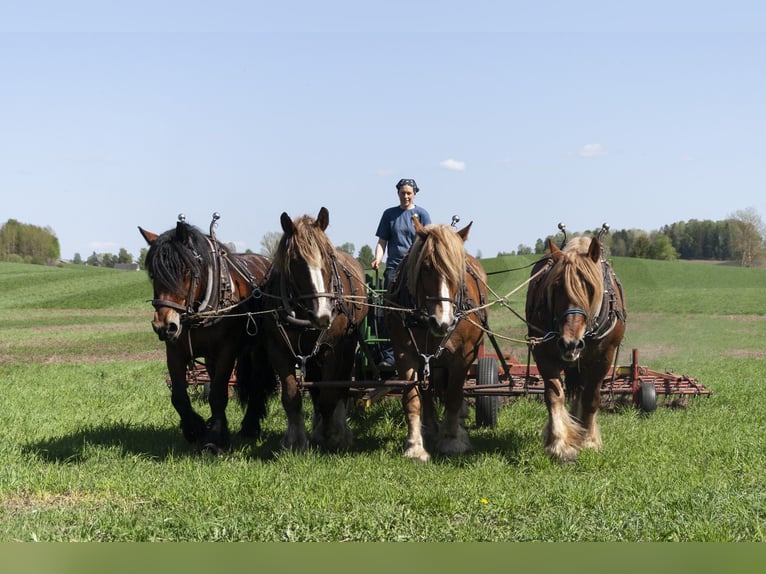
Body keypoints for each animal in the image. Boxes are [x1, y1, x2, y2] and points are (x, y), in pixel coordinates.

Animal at [140, 216, 274, 454]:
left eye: (185, 270)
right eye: (154, 274)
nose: (164, 326)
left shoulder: (227, 351)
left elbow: (219, 394)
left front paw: (214, 441)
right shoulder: (175, 350)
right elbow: (179, 396)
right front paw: (195, 429)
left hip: (257, 351)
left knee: (257, 382)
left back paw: (250, 426)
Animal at [256, 209, 368, 452]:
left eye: (328, 256)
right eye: (296, 261)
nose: (323, 315)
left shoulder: (332, 350)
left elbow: (328, 396)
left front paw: (329, 435)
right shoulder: (278, 349)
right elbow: (291, 396)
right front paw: (294, 441)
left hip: (347, 348)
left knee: (341, 388)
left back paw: (339, 429)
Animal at [388, 218, 488, 466]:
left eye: (457, 271)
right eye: (425, 267)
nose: (442, 322)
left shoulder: (463, 355)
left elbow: (453, 395)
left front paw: (452, 440)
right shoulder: (405, 354)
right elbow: (413, 399)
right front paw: (415, 446)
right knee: (428, 391)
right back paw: (430, 428)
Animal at [528, 234, 632, 464]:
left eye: (590, 288)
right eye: (556, 287)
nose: (570, 343)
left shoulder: (603, 357)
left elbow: (591, 398)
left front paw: (589, 441)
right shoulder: (543, 354)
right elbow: (554, 395)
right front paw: (559, 444)